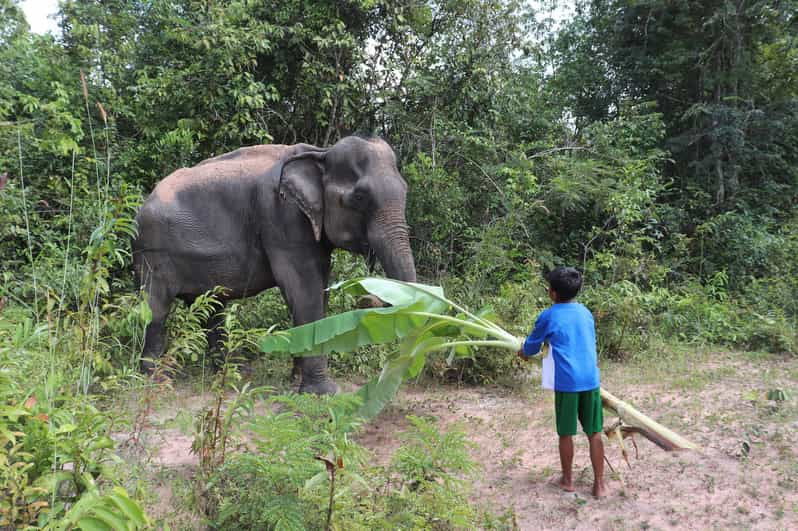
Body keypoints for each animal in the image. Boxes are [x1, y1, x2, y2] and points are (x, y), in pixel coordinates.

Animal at [131, 137, 418, 394]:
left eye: (405, 189)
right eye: (359, 197)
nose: (367, 298)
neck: (320, 152)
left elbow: (317, 290)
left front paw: (296, 380)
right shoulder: (281, 218)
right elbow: (304, 291)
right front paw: (323, 392)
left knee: (213, 309)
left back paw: (228, 374)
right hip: (153, 252)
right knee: (156, 309)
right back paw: (156, 382)